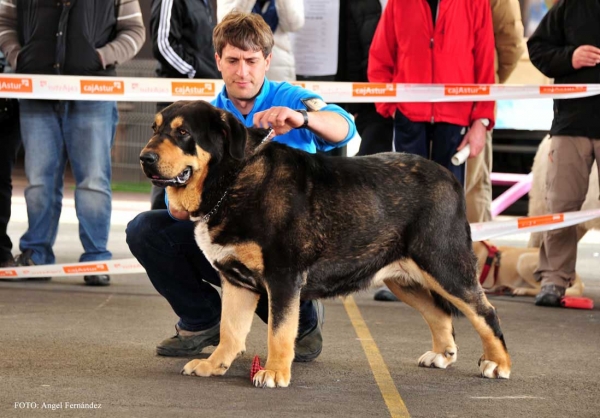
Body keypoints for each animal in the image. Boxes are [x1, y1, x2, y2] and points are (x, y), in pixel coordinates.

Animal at [141, 101, 510, 388]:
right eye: (155, 129)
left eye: (183, 133)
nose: (146, 157)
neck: (231, 180)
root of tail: (447, 175)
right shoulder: (236, 280)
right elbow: (230, 329)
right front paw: (214, 364)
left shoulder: (283, 276)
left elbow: (279, 330)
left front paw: (275, 372)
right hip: (403, 277)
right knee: (440, 313)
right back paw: (442, 354)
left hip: (444, 264)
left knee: (485, 312)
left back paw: (498, 364)